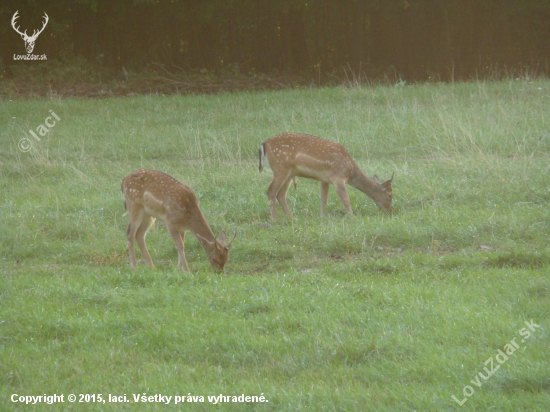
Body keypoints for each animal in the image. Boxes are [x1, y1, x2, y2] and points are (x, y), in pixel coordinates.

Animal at [260, 134, 394, 220]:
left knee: (280, 194)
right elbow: (346, 199)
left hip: (289, 173)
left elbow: (323, 198)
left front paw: (322, 217)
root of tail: (264, 144)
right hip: (280, 169)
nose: (389, 211)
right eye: (390, 195)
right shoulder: (338, 178)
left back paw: (291, 217)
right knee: (271, 191)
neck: (350, 171)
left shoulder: (325, 179)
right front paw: (353, 217)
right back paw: (275, 220)